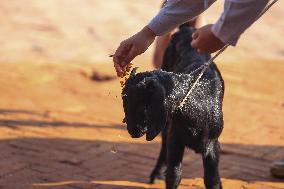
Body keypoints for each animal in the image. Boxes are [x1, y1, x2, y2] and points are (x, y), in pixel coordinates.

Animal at [121, 26, 224, 189]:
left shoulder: (212, 144)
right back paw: (156, 174)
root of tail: (188, 29)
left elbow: (212, 179)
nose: (132, 131)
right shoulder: (175, 138)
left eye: (141, 102)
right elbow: (174, 175)